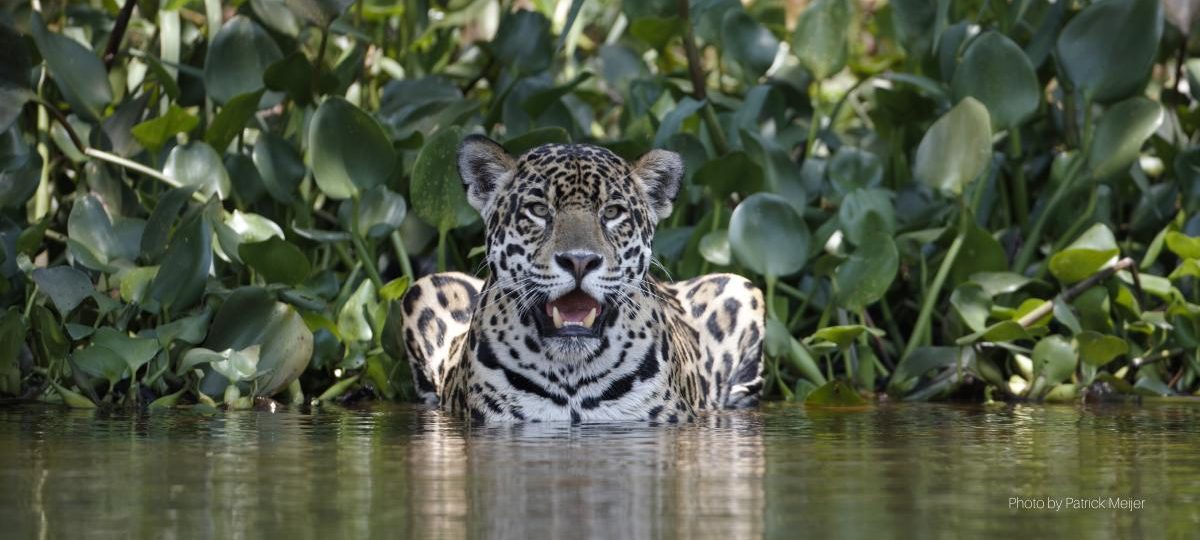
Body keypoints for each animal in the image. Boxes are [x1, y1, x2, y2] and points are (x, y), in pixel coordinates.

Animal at [398, 135, 765, 423]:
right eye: (539, 210)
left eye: (612, 213)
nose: (579, 261)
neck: (571, 372)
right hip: (427, 286)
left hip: (741, 287)